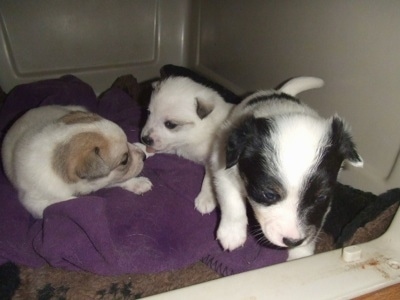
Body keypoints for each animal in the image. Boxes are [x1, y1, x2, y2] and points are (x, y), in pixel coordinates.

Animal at [141, 76, 234, 212]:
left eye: (170, 124)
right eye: (148, 113)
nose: (145, 139)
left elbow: (210, 178)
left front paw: (206, 198)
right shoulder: (177, 145)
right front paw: (138, 149)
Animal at [198, 77, 364, 260]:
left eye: (321, 197)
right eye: (269, 195)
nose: (293, 241)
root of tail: (281, 92)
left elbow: (317, 221)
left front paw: (301, 254)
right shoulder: (226, 171)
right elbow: (231, 202)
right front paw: (232, 233)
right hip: (219, 144)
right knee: (210, 170)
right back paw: (206, 197)